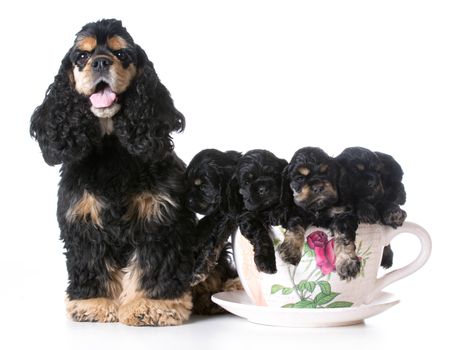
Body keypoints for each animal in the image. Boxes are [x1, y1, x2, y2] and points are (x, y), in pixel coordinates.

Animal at [29, 18, 196, 326]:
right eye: (82, 56)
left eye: (121, 54)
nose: (101, 62)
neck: (111, 148)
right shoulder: (83, 218)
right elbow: (91, 262)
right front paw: (92, 303)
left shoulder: (158, 217)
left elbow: (153, 264)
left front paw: (152, 305)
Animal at [186, 148, 241, 284]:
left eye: (203, 186)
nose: (187, 201)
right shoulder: (217, 211)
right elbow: (206, 223)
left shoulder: (229, 215)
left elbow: (214, 238)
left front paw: (198, 271)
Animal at [278, 146, 360, 280]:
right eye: (299, 178)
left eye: (327, 173)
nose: (317, 187)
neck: (318, 208)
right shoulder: (298, 211)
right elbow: (295, 227)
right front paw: (290, 250)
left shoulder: (343, 215)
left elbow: (343, 237)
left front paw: (347, 262)